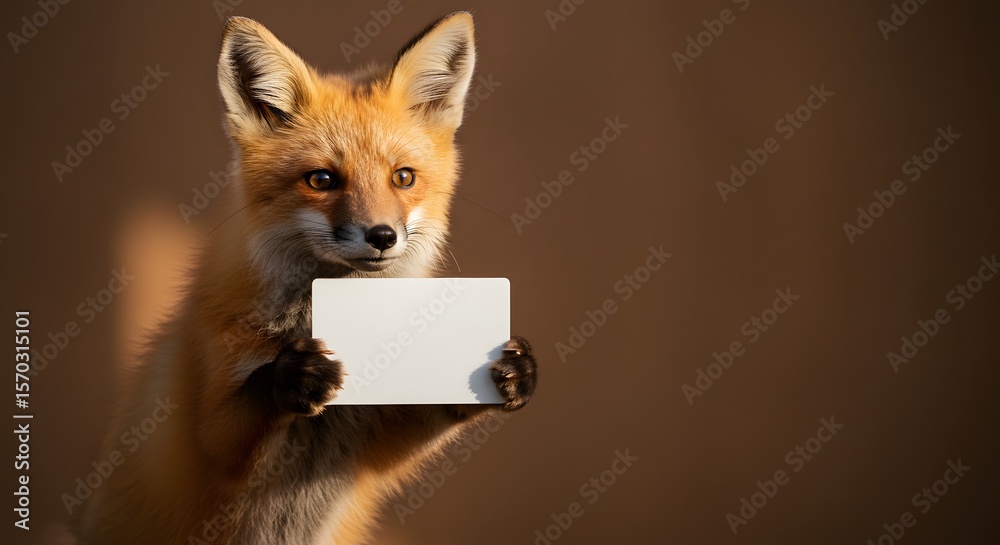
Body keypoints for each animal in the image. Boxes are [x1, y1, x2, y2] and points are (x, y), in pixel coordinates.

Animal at [78, 12, 537, 545]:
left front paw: (510, 370)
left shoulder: (373, 443)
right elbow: (244, 409)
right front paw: (293, 374)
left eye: (403, 177)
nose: (383, 236)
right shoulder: (208, 444)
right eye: (321, 180)